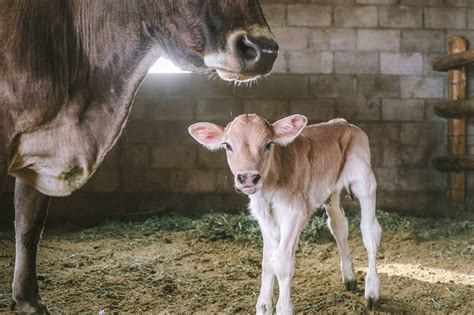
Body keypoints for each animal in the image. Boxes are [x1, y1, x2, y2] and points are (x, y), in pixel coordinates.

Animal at [189, 115, 382, 314]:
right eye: (227, 145)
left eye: (268, 144)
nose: (248, 178)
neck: (269, 188)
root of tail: (343, 123)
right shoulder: (264, 217)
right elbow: (268, 262)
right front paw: (263, 307)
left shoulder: (294, 214)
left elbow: (282, 263)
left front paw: (283, 308)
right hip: (331, 191)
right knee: (339, 226)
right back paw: (349, 277)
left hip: (365, 182)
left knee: (370, 232)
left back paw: (372, 292)